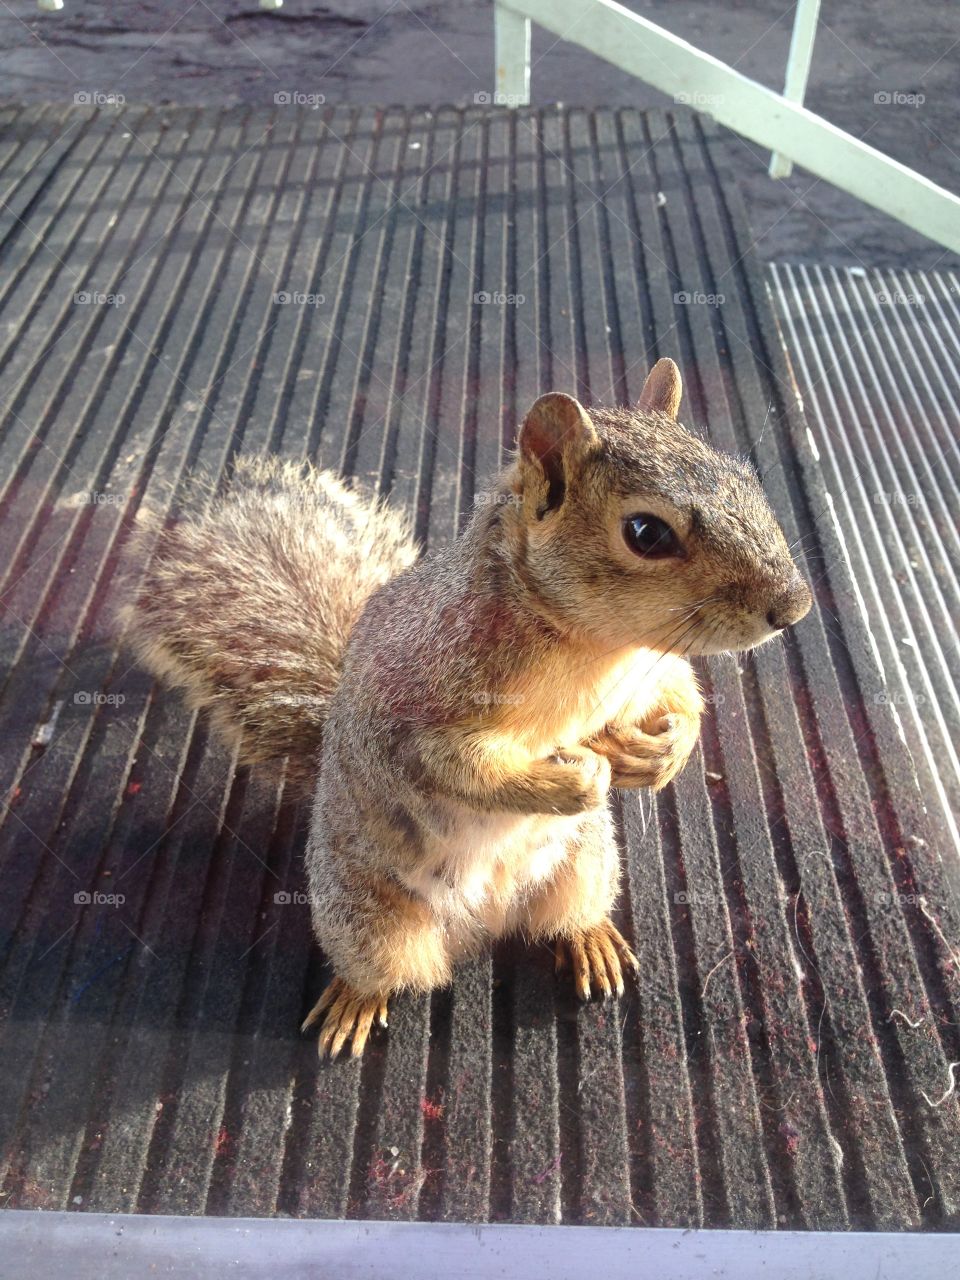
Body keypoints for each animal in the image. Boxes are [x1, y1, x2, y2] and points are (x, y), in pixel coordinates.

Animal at [121, 358, 812, 1058]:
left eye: (743, 477)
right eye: (646, 533)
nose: (795, 606)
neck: (595, 648)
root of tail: (485, 922)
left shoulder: (650, 669)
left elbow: (680, 693)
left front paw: (666, 752)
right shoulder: (420, 703)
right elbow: (456, 767)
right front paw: (575, 778)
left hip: (587, 863)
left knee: (567, 915)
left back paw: (590, 939)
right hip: (364, 916)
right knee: (378, 966)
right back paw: (354, 1001)